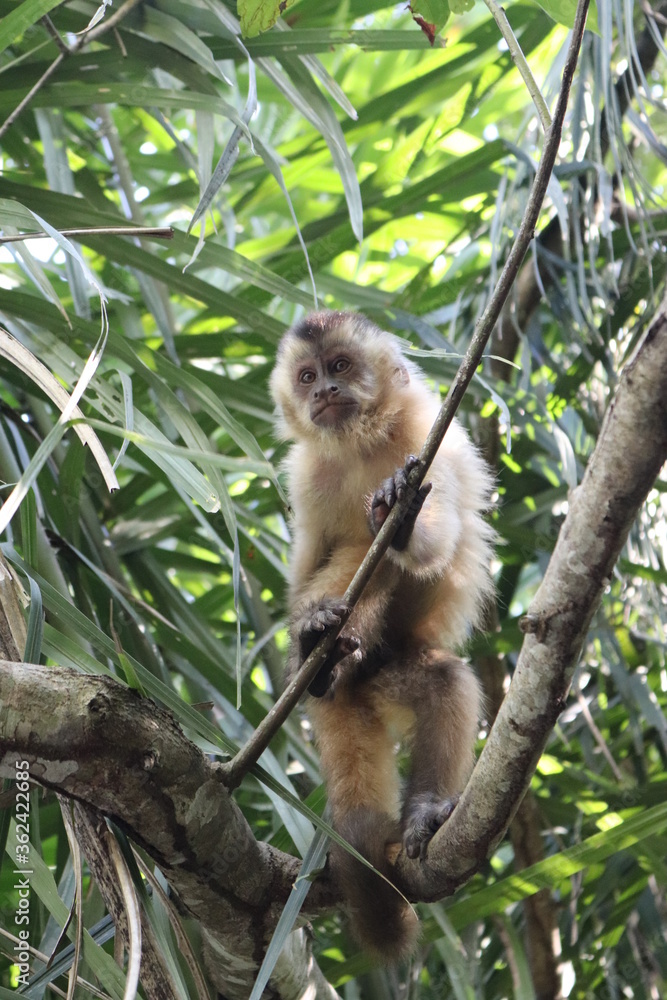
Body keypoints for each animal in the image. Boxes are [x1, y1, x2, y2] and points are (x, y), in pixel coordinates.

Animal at [269, 310, 495, 960]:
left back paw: (424, 812)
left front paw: (402, 517)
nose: (324, 391)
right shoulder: (307, 474)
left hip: (389, 668)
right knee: (349, 560)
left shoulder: (423, 437)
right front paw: (303, 633)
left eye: (341, 367)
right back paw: (317, 656)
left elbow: (433, 544)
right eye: (308, 375)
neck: (361, 445)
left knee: (440, 677)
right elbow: (305, 572)